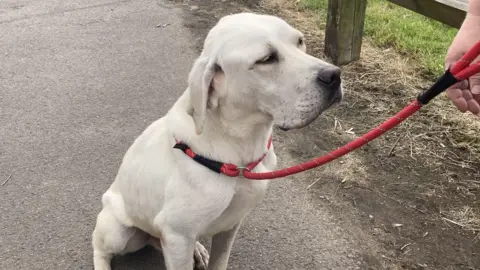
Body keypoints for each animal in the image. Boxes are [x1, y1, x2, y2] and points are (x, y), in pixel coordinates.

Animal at [93, 11, 342, 268]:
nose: (334, 75)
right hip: (119, 232)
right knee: (100, 248)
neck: (240, 150)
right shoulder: (176, 235)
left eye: (300, 41)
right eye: (266, 59)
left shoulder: (230, 224)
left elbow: (219, 260)